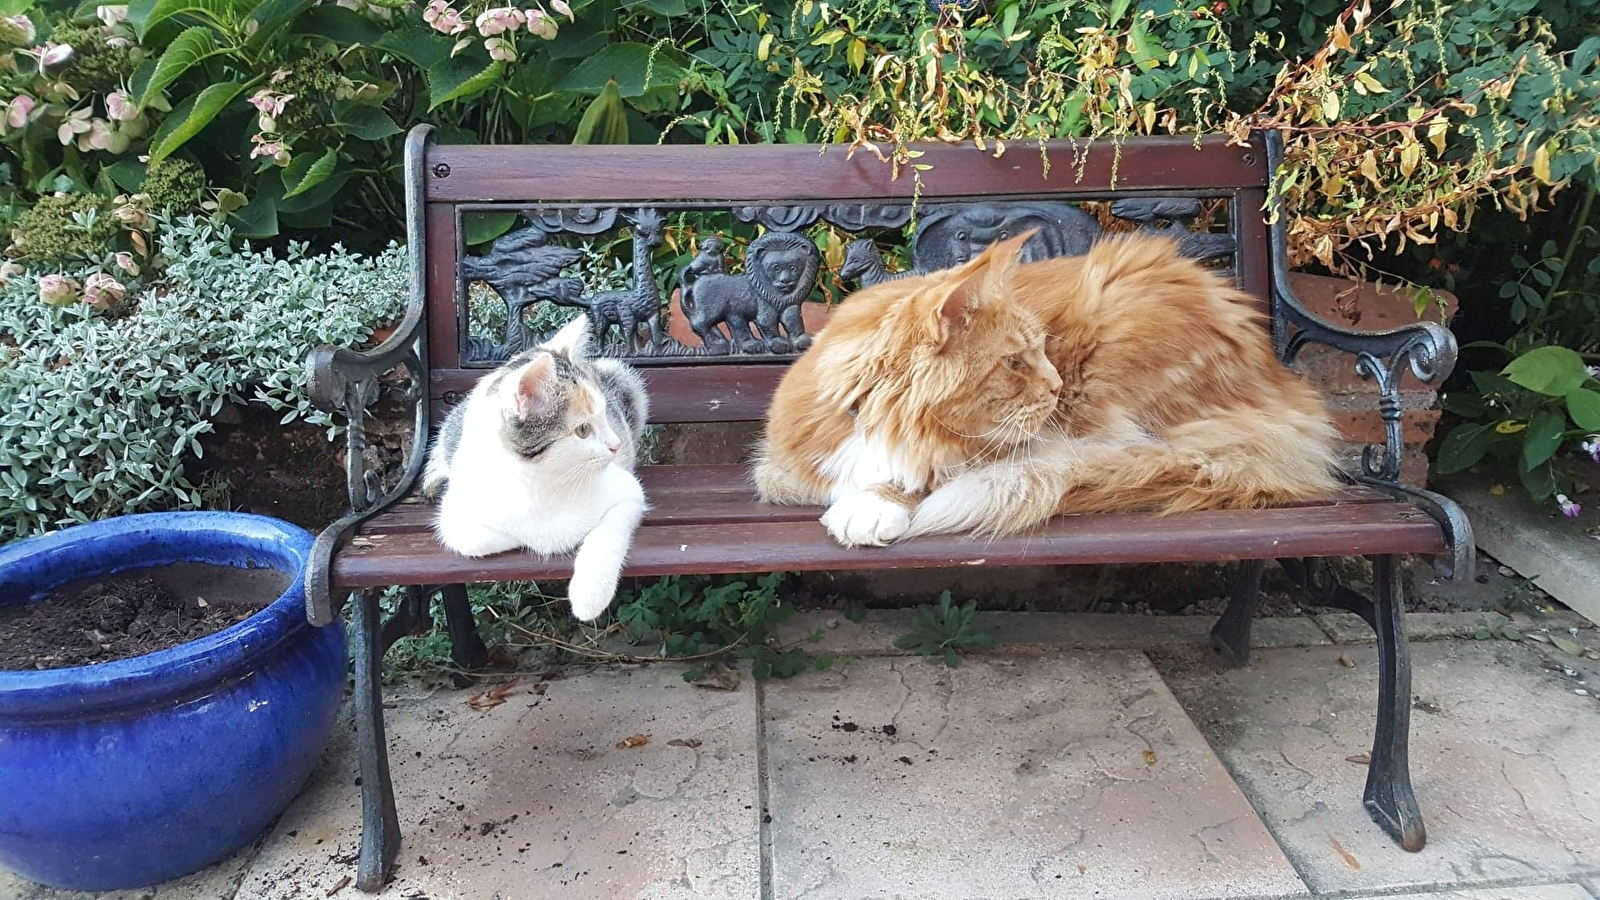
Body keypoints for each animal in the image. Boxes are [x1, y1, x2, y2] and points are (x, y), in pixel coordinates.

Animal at [421, 314, 650, 620]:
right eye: (582, 430)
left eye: (605, 413)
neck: (543, 484)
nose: (615, 444)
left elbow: (609, 531)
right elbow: (472, 539)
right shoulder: (455, 513)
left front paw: (589, 595)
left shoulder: (629, 491)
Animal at [751, 231, 1338, 547]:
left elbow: (931, 475)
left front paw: (877, 501)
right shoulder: (782, 470)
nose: (1056, 386)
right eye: (1014, 362)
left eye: (1043, 348)